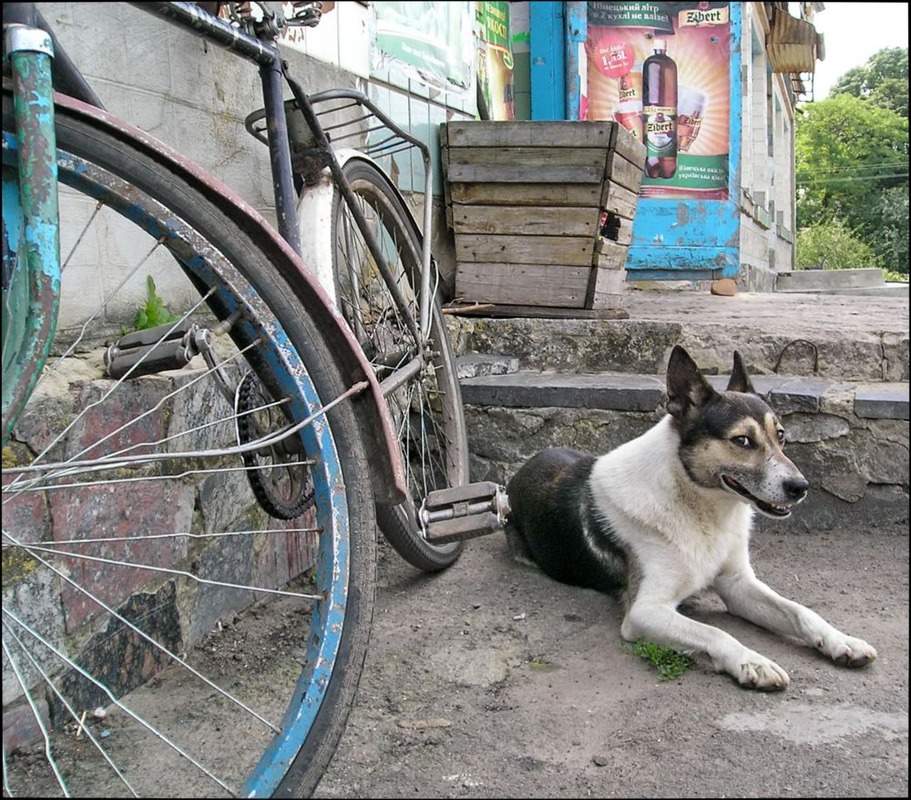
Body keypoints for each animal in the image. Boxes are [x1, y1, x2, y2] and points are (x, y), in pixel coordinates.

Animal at [506, 346, 876, 692]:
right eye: (742, 440)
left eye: (781, 435)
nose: (801, 487)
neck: (701, 508)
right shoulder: (645, 612)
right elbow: (715, 633)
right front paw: (752, 662)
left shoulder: (738, 585)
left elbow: (800, 610)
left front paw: (841, 640)